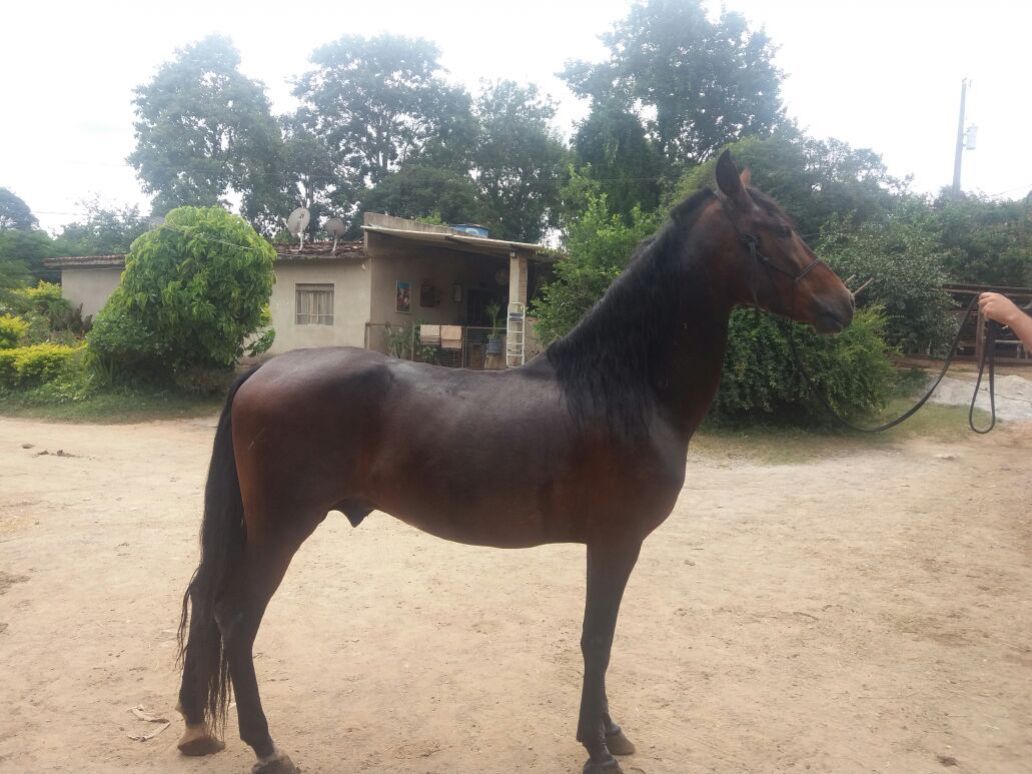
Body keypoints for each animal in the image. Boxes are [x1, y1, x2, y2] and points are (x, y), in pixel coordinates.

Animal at [174, 151, 854, 774]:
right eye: (775, 230)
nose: (843, 303)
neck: (621, 387)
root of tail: (264, 370)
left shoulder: (612, 544)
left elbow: (602, 638)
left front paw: (611, 732)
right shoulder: (616, 541)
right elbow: (597, 638)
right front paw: (597, 749)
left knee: (210, 605)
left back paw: (197, 726)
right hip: (281, 529)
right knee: (237, 618)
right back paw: (267, 748)